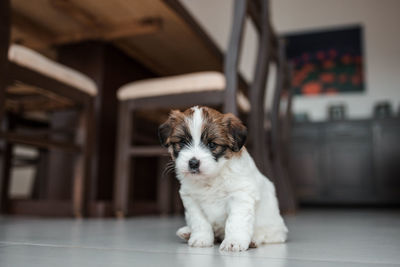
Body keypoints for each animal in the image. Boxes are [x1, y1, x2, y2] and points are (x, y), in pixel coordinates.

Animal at [158, 105, 286, 252]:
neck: (212, 177)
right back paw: (187, 232)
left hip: (273, 230)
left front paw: (234, 241)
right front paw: (201, 238)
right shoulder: (191, 200)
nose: (193, 163)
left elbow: (236, 221)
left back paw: (253, 240)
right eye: (183, 142)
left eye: (212, 145)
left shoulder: (240, 196)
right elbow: (199, 221)